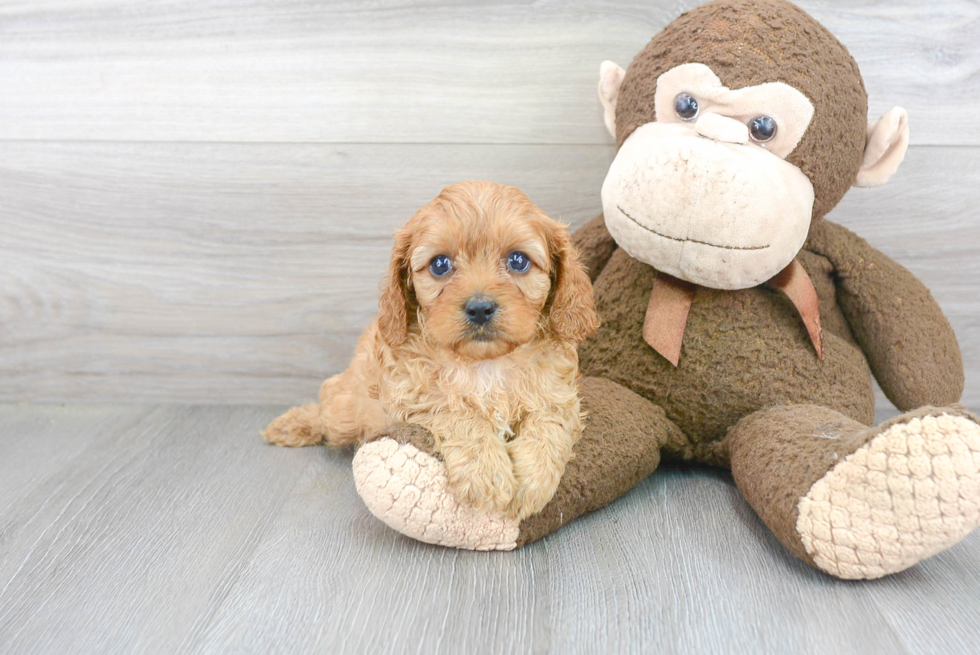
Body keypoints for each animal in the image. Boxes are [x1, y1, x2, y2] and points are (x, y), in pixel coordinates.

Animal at [264, 182, 596, 520]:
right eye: (440, 264)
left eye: (518, 261)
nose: (480, 308)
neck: (484, 364)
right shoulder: (413, 397)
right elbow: (458, 414)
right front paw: (486, 472)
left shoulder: (558, 395)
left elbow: (549, 425)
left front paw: (533, 479)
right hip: (345, 410)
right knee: (326, 407)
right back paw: (291, 424)